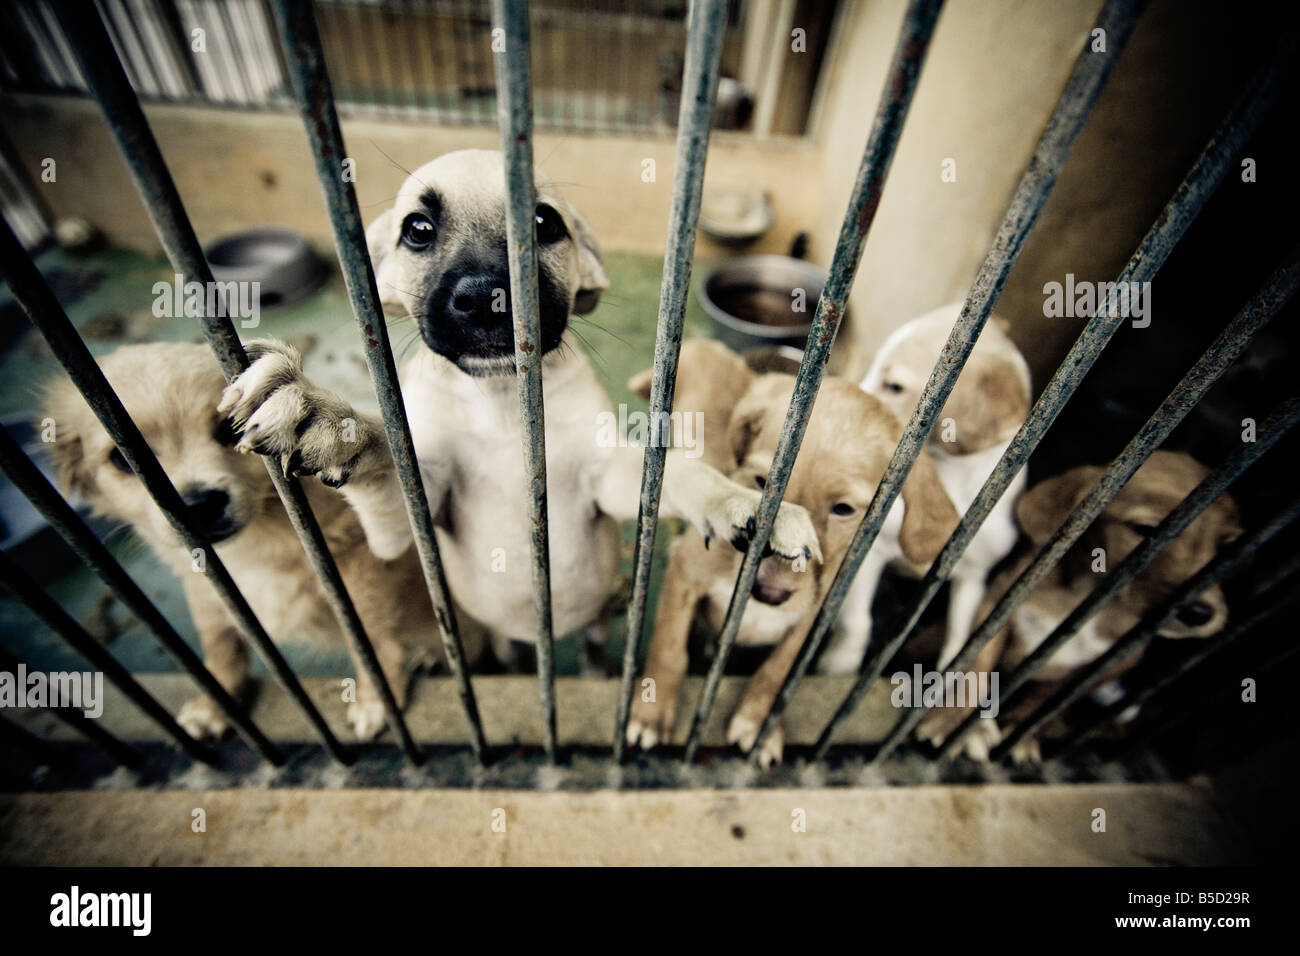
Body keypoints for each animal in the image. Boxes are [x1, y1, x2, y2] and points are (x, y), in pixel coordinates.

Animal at [45, 343, 483, 738]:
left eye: (227, 428)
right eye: (121, 460)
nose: (199, 505)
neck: (257, 547)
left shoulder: (367, 564)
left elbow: (371, 639)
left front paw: (378, 698)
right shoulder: (206, 590)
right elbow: (220, 645)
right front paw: (215, 704)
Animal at [218, 151, 816, 671]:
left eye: (543, 222)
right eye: (418, 229)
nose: (486, 297)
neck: (503, 402)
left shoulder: (607, 477)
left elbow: (681, 472)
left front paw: (745, 502)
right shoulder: (412, 514)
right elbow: (385, 448)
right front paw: (319, 410)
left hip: (596, 620)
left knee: (595, 647)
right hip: (505, 637)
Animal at [624, 343, 961, 770]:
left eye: (844, 509)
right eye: (760, 483)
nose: (770, 594)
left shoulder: (814, 613)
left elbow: (778, 669)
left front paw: (758, 723)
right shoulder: (686, 572)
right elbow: (669, 647)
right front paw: (651, 714)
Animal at [915, 447, 1237, 764]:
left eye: (1226, 546)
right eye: (1144, 529)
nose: (1201, 613)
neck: (1084, 594)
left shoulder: (1111, 663)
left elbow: (1041, 702)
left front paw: (1022, 734)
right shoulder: (996, 608)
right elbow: (976, 669)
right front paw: (951, 723)